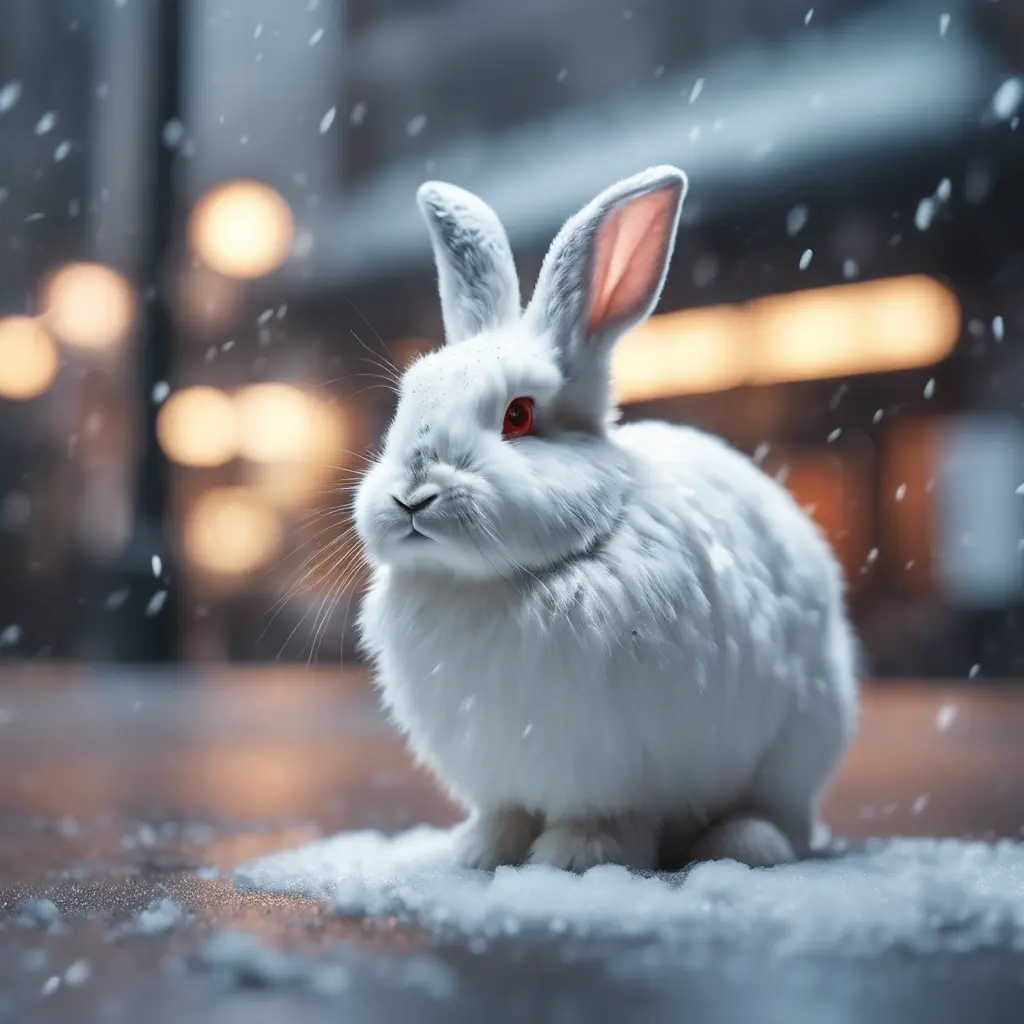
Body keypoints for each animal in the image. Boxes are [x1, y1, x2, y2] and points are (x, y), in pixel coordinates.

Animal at [356, 165, 860, 872]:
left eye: (518, 415)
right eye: (407, 400)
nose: (411, 498)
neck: (494, 584)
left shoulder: (612, 769)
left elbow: (599, 819)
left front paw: (573, 858)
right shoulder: (500, 772)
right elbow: (505, 812)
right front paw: (478, 853)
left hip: (798, 741)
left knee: (777, 813)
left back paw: (744, 843)